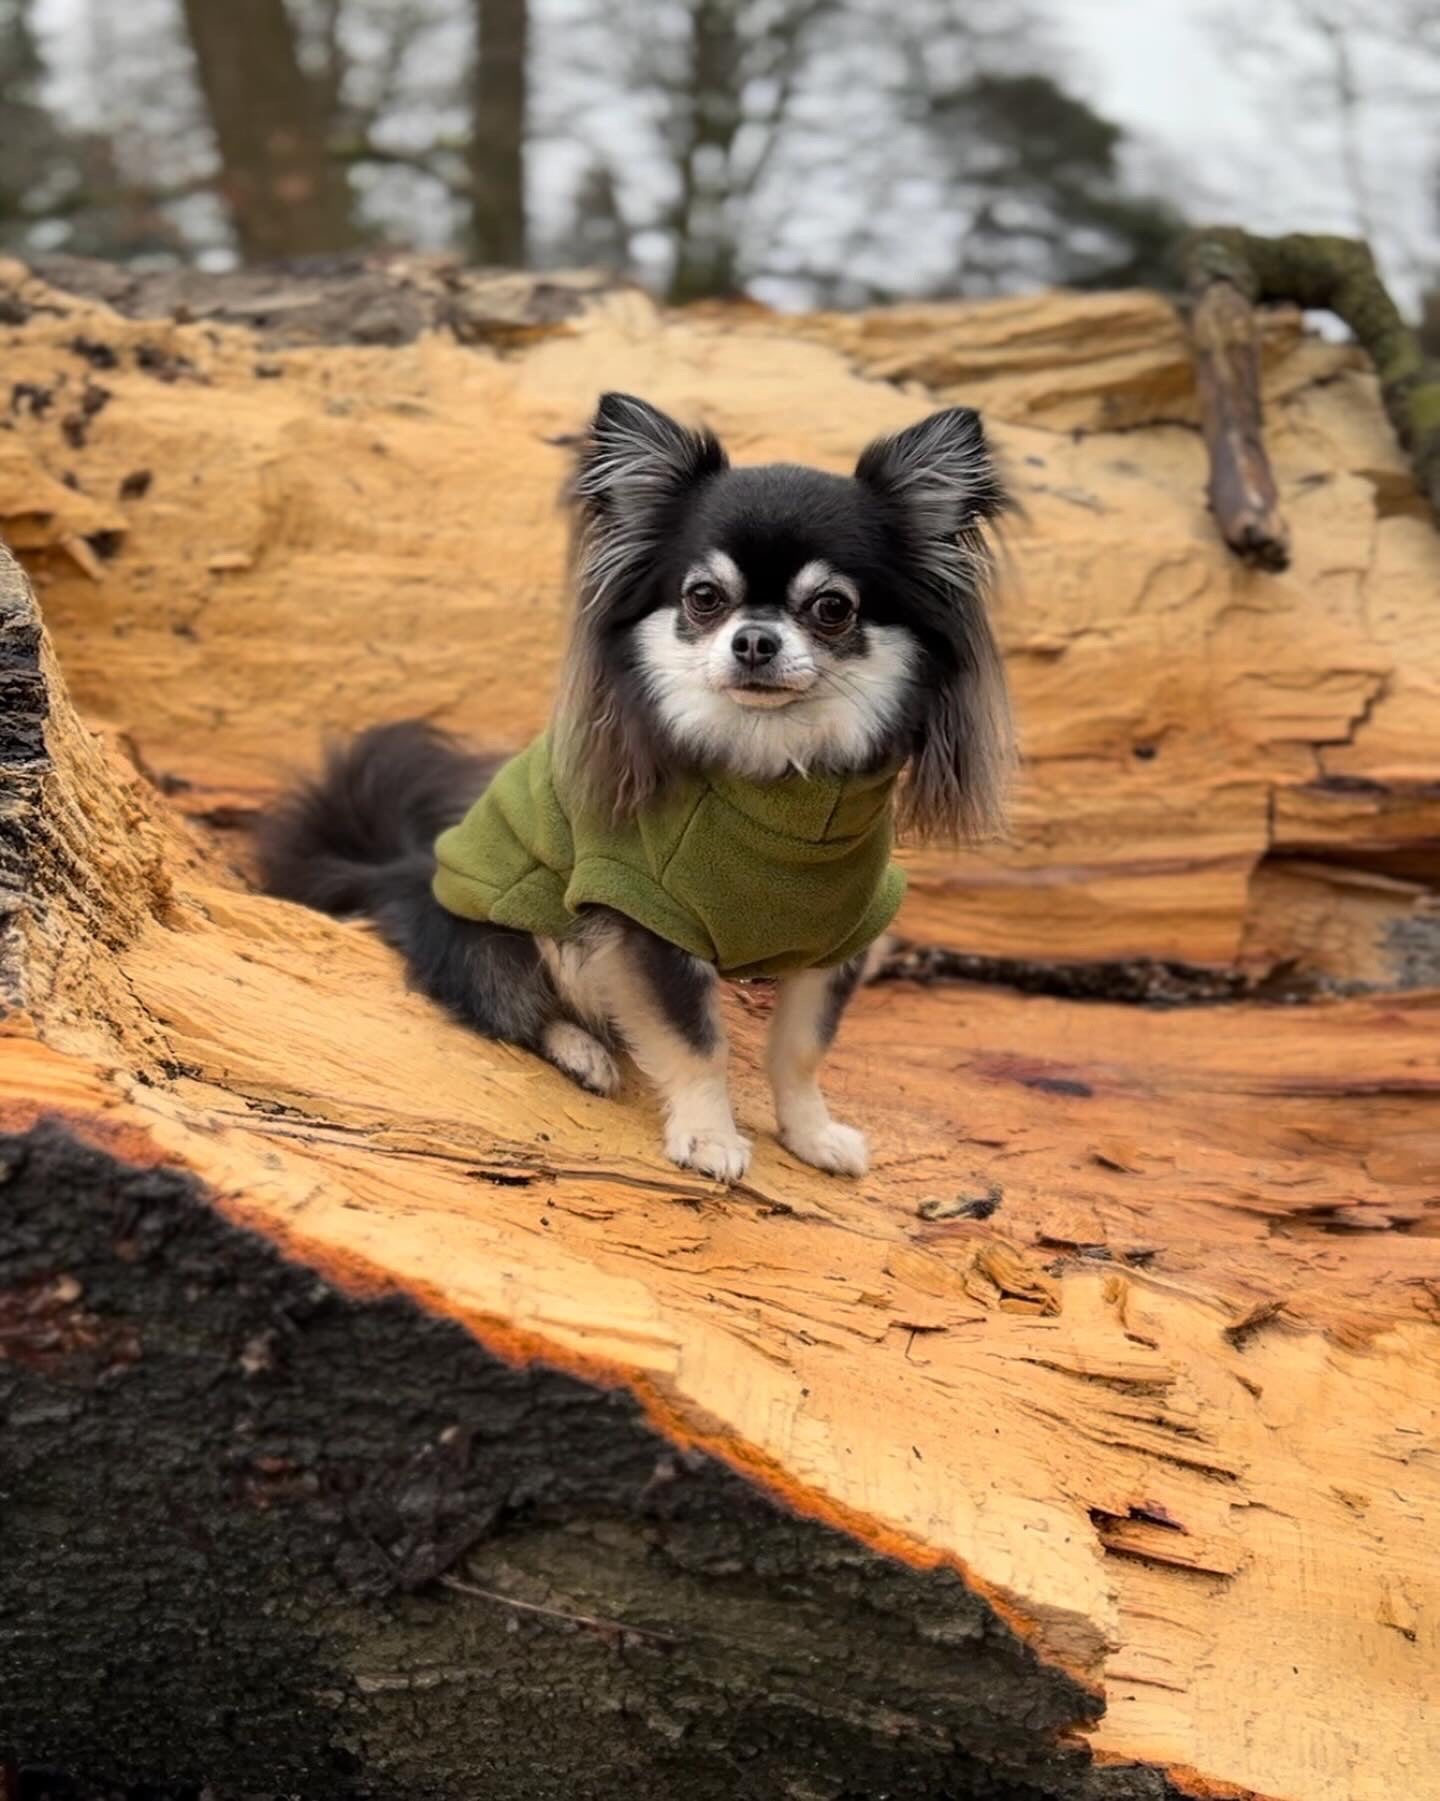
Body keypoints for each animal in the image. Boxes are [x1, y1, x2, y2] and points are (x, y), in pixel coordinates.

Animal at [255, 389, 1015, 1188]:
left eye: (833, 607)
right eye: (704, 597)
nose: (754, 640)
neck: (774, 782)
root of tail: (401, 868)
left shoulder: (842, 936)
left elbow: (802, 1050)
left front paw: (812, 1136)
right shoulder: (648, 922)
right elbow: (697, 1043)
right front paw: (709, 1137)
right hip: (507, 939)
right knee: (503, 1006)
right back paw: (582, 1051)